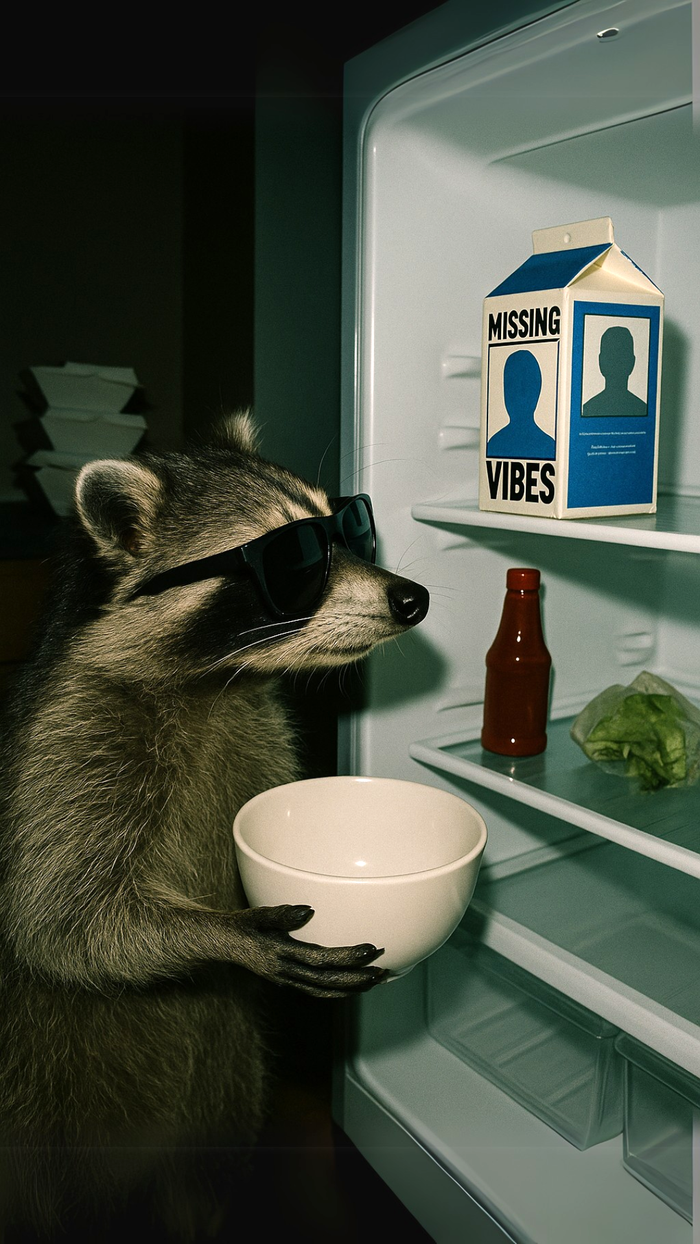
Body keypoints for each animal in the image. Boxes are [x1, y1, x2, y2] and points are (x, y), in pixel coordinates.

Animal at [0, 413, 429, 1240]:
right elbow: (57, 916)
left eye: (349, 525)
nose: (411, 597)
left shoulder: (260, 727)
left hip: (227, 1087)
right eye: (292, 559)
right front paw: (226, 932)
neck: (214, 685)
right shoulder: (69, 745)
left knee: (201, 1175)